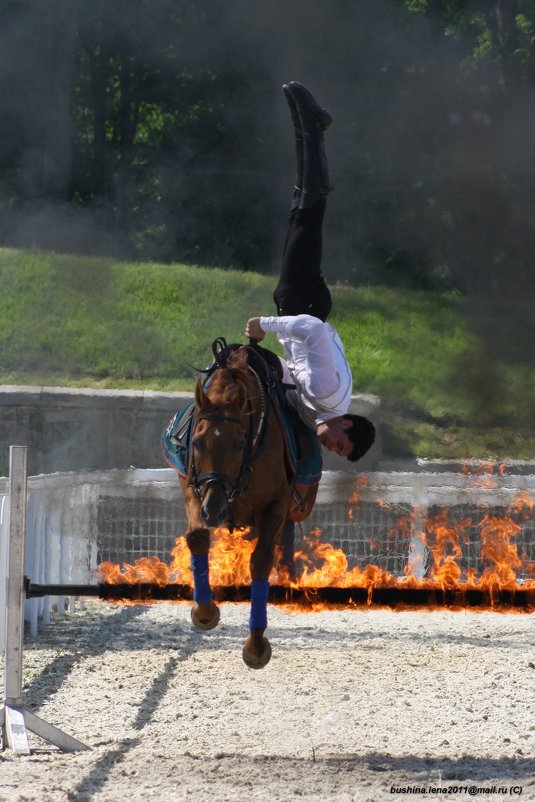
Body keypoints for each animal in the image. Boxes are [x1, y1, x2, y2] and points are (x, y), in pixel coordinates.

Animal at [180, 346, 314, 664]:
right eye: (198, 442)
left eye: (239, 444)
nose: (214, 509)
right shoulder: (193, 486)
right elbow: (197, 536)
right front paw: (205, 611)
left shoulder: (277, 503)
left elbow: (261, 561)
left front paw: (255, 644)